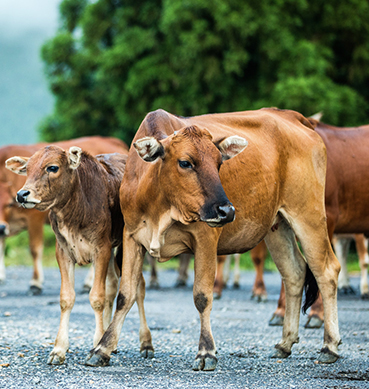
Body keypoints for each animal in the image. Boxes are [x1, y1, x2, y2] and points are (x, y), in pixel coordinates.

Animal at [0, 136, 128, 292]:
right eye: (27, 170)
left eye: (52, 167)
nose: (21, 194)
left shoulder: (34, 219)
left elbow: (35, 248)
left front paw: (35, 282)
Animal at [5, 146, 152, 364]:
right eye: (27, 168)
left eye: (52, 167)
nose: (22, 194)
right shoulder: (63, 252)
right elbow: (66, 298)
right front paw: (59, 349)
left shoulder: (101, 249)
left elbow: (97, 297)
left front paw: (98, 343)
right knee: (112, 285)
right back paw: (111, 342)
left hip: (129, 247)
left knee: (138, 286)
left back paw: (146, 344)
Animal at [85, 107, 340, 370]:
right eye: (185, 162)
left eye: (219, 163)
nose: (226, 211)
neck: (161, 205)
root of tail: (296, 118)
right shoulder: (131, 238)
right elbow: (125, 295)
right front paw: (103, 348)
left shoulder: (205, 237)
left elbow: (202, 296)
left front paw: (206, 351)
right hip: (278, 227)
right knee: (294, 273)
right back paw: (285, 343)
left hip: (309, 216)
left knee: (326, 271)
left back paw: (329, 345)